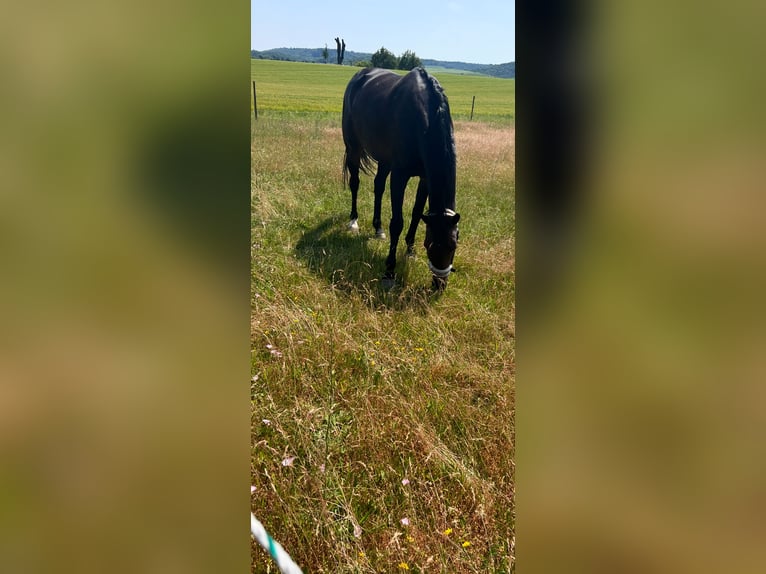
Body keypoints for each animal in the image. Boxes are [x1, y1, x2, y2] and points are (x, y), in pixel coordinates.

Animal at [344, 66, 462, 292]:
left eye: (454, 245)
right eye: (430, 245)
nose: (439, 285)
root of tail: (360, 75)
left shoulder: (424, 178)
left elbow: (417, 213)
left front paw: (410, 249)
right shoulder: (399, 175)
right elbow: (397, 222)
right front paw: (389, 271)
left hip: (384, 160)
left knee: (378, 186)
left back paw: (378, 228)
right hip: (353, 147)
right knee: (355, 183)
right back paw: (353, 221)